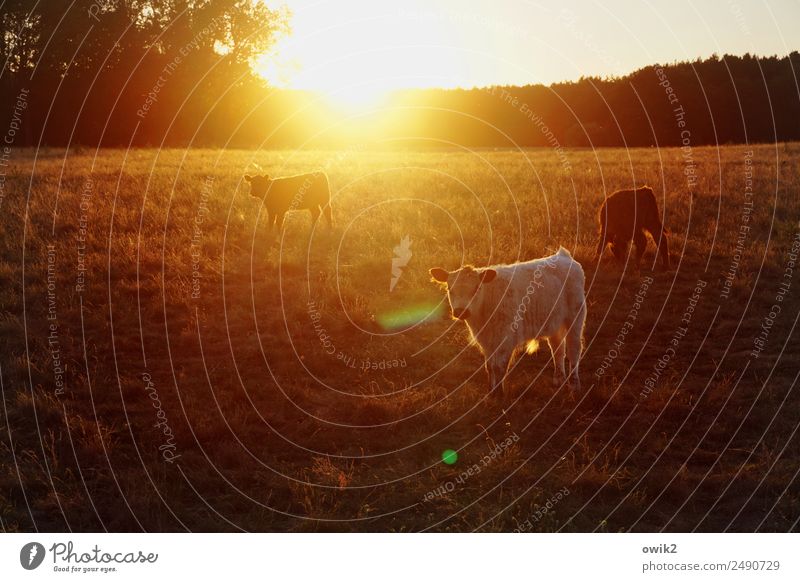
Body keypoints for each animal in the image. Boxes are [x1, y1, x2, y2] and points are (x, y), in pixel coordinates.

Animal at [432, 249, 588, 394]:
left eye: (477, 288)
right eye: (449, 289)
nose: (461, 311)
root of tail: (563, 256)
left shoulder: (506, 338)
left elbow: (499, 366)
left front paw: (498, 393)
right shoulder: (486, 341)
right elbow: (490, 366)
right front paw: (491, 391)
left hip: (575, 317)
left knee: (574, 349)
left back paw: (574, 385)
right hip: (554, 323)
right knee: (558, 349)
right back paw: (558, 380)